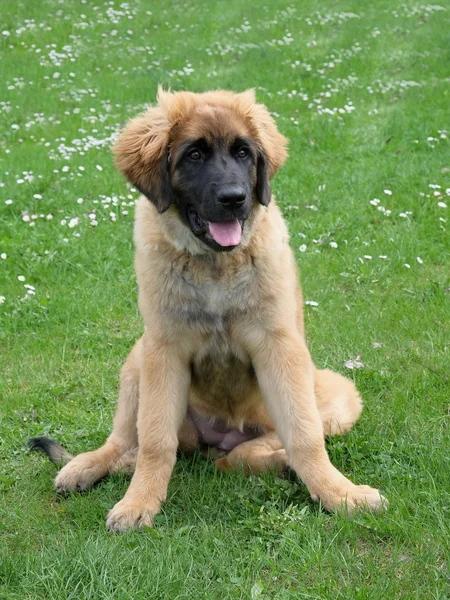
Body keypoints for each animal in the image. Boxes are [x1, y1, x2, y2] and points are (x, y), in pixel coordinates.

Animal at [29, 88, 386, 528]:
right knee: (129, 440)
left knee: (243, 455)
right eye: (194, 155)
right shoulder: (163, 349)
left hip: (335, 396)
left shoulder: (279, 346)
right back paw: (89, 464)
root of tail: (217, 438)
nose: (234, 199)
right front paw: (139, 502)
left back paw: (279, 463)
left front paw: (340, 494)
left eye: (244, 153)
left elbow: (304, 436)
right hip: (138, 358)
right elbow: (155, 441)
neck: (214, 265)